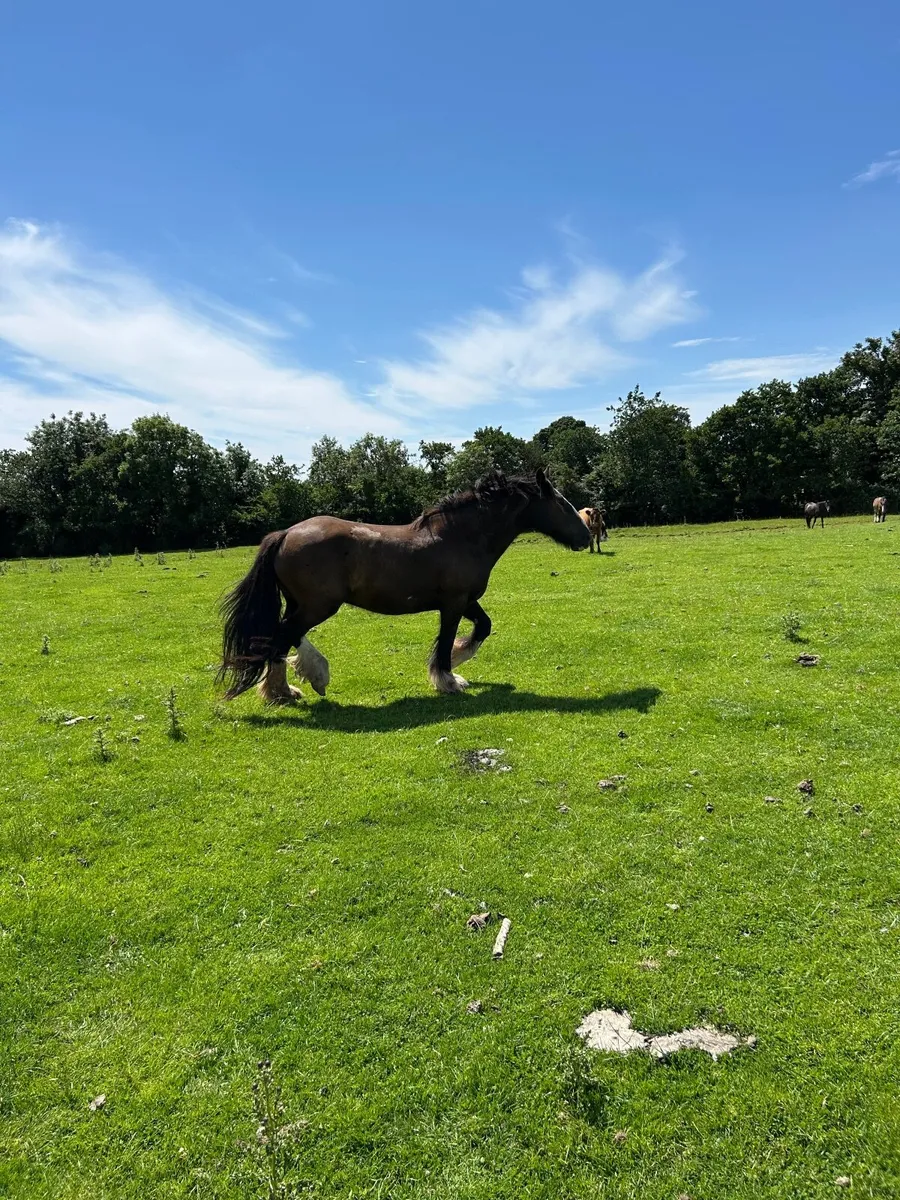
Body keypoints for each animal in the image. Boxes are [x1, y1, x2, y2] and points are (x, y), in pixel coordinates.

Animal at [218, 469, 591, 704]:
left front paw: (458, 663)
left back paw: (298, 682)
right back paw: (291, 688)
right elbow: (445, 641)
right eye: (561, 502)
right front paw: (448, 679)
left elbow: (483, 626)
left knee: (284, 637)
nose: (587, 536)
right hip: (317, 606)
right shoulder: (453, 603)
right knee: (281, 638)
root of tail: (285, 534)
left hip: (303, 605)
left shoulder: (467, 601)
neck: (461, 537)